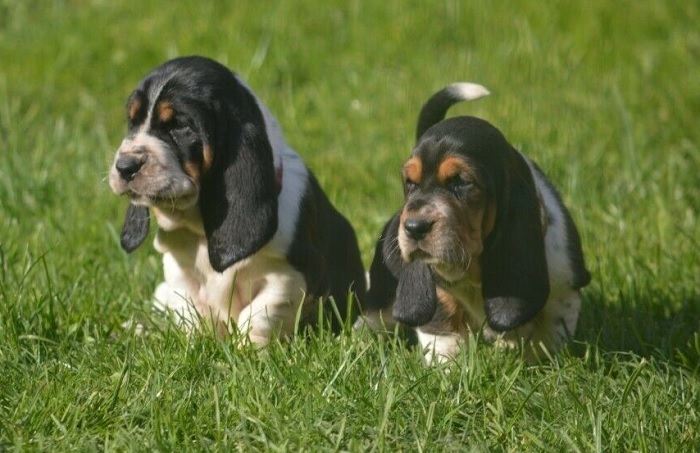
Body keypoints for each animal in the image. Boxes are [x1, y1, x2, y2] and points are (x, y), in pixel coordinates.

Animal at [108, 55, 366, 342]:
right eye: (132, 122)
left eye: (180, 125)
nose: (125, 166)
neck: (199, 230)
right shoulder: (177, 272)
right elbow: (189, 311)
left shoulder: (288, 275)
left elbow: (259, 315)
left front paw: (249, 349)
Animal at [360, 83, 592, 362]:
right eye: (410, 183)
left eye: (461, 182)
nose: (414, 228)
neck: (473, 271)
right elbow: (442, 337)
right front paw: (447, 368)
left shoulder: (564, 290)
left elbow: (550, 336)